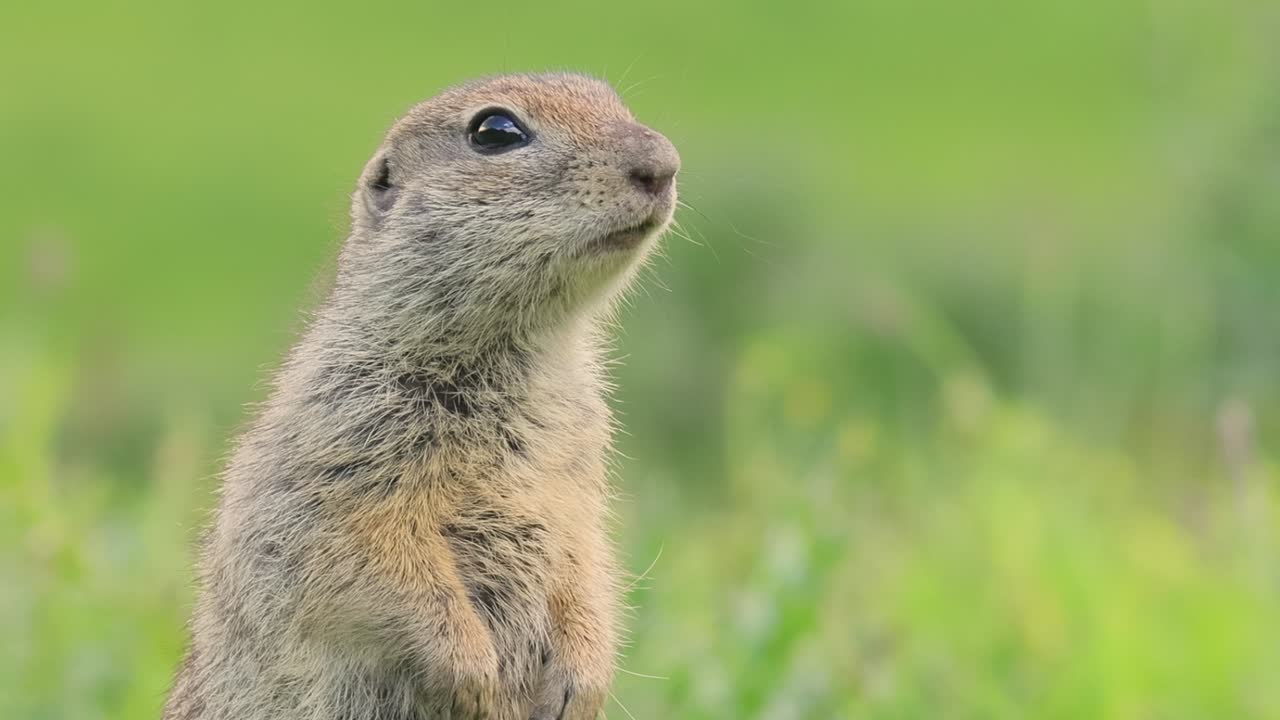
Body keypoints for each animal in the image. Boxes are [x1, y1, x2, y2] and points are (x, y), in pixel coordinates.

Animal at [162, 73, 680, 720]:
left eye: (612, 99)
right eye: (495, 130)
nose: (664, 164)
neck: (523, 351)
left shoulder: (577, 484)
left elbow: (586, 564)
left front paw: (581, 681)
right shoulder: (341, 457)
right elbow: (380, 564)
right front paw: (476, 678)